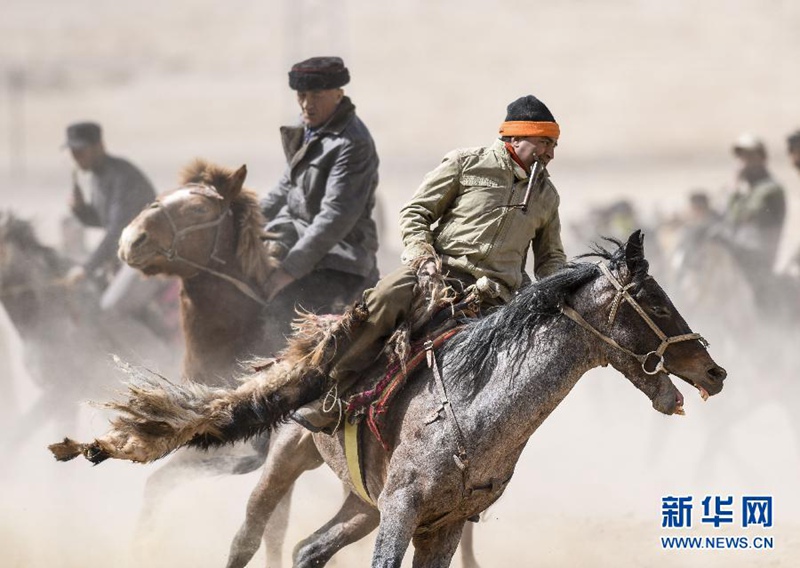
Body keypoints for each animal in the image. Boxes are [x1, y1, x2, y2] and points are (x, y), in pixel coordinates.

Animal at [50, 230, 724, 564]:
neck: (475, 411)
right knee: (248, 536)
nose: (714, 371)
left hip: (362, 501)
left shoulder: (440, 523)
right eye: (654, 300)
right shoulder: (401, 510)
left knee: (307, 548)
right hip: (289, 458)